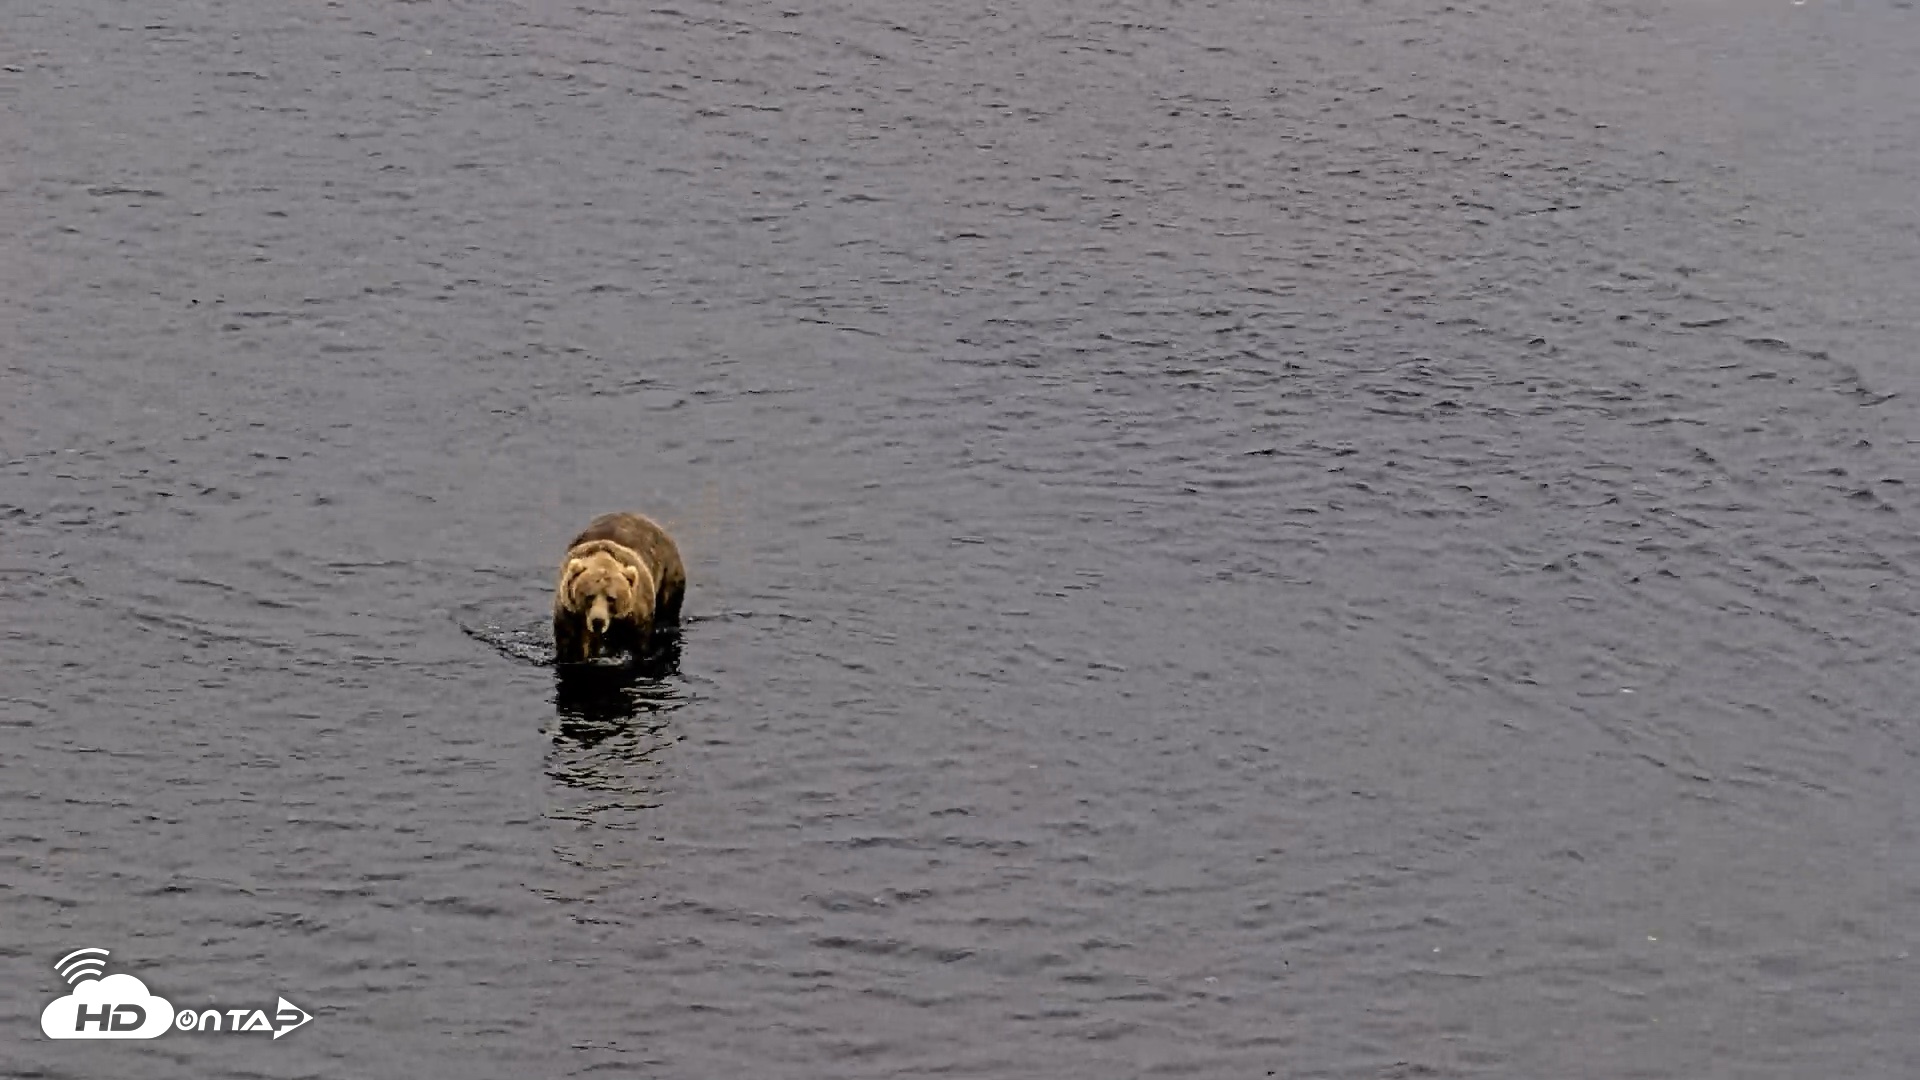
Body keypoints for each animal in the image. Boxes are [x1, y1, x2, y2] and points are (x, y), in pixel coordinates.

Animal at [552, 511, 687, 665]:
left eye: (611, 598)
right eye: (589, 596)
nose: (598, 621)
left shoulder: (636, 613)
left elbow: (638, 644)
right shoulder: (570, 612)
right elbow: (572, 645)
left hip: (668, 575)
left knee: (668, 612)